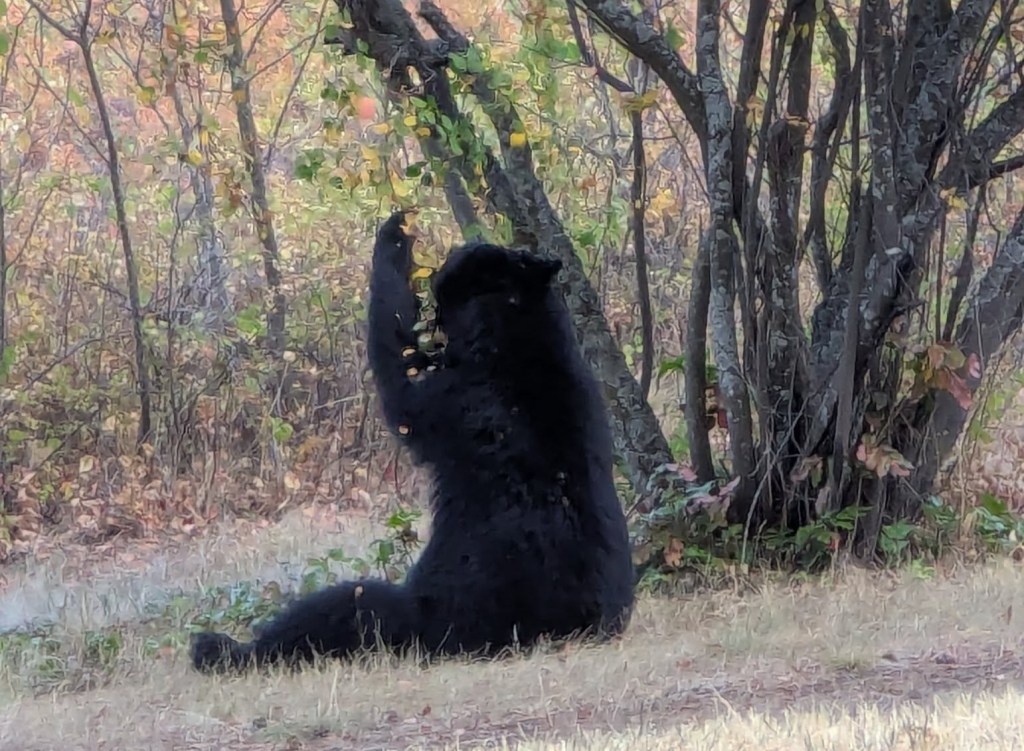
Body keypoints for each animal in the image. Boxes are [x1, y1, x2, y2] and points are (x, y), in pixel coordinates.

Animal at [190, 211, 635, 673]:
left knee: (347, 607)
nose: (444, 263)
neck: (515, 336)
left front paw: (394, 238)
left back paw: (223, 648)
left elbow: (399, 373)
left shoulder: (456, 397)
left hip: (440, 612)